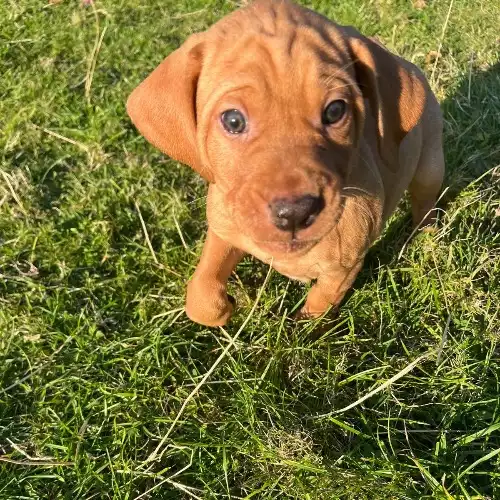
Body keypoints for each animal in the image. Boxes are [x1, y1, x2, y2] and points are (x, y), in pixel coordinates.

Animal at [127, 0, 444, 326]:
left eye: (335, 111)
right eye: (233, 120)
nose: (295, 213)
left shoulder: (343, 270)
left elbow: (318, 307)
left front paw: (302, 328)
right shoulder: (224, 229)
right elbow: (201, 294)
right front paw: (223, 308)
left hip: (430, 166)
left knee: (425, 202)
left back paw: (426, 236)